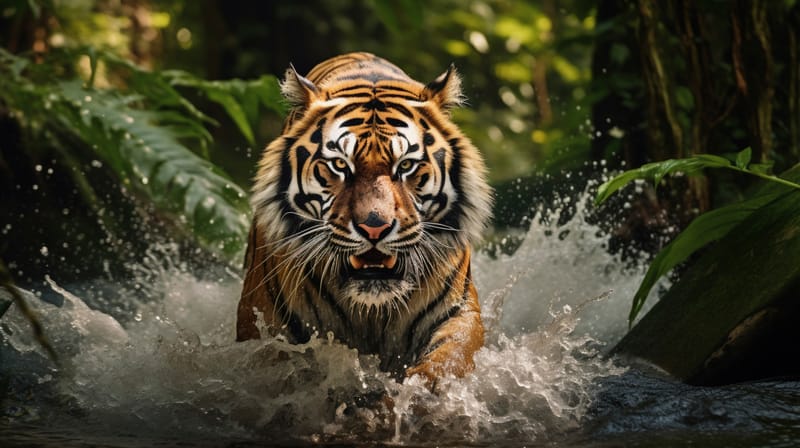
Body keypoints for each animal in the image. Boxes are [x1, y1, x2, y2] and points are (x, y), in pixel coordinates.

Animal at [236, 52, 493, 387]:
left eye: (406, 165)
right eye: (339, 165)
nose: (375, 227)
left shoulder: (458, 312)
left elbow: (446, 361)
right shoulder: (262, 322)